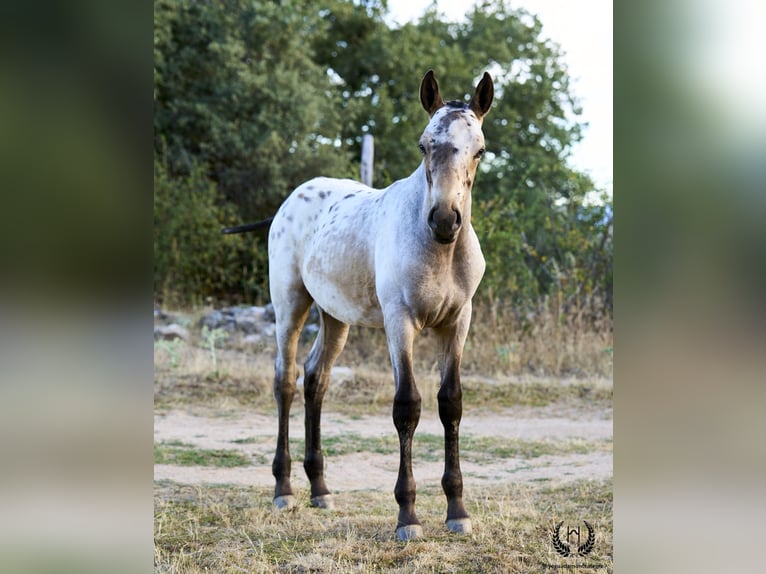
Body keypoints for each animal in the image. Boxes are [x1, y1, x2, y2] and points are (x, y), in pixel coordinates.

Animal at [225, 70, 496, 544]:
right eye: (424, 145)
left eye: (478, 150)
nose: (445, 220)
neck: (439, 252)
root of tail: (290, 200)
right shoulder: (399, 321)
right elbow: (407, 406)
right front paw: (408, 517)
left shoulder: (458, 322)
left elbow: (451, 404)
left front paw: (457, 511)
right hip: (290, 303)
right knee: (285, 379)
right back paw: (284, 489)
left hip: (335, 317)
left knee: (316, 378)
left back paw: (320, 489)